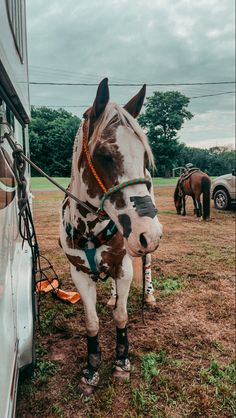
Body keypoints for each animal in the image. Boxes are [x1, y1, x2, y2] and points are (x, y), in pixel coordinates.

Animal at [59, 77, 162, 392]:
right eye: (104, 155)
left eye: (144, 156)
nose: (148, 233)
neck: (90, 229)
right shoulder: (80, 273)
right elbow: (92, 322)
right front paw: (91, 368)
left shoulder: (125, 265)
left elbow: (122, 315)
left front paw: (121, 362)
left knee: (148, 265)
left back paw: (149, 296)